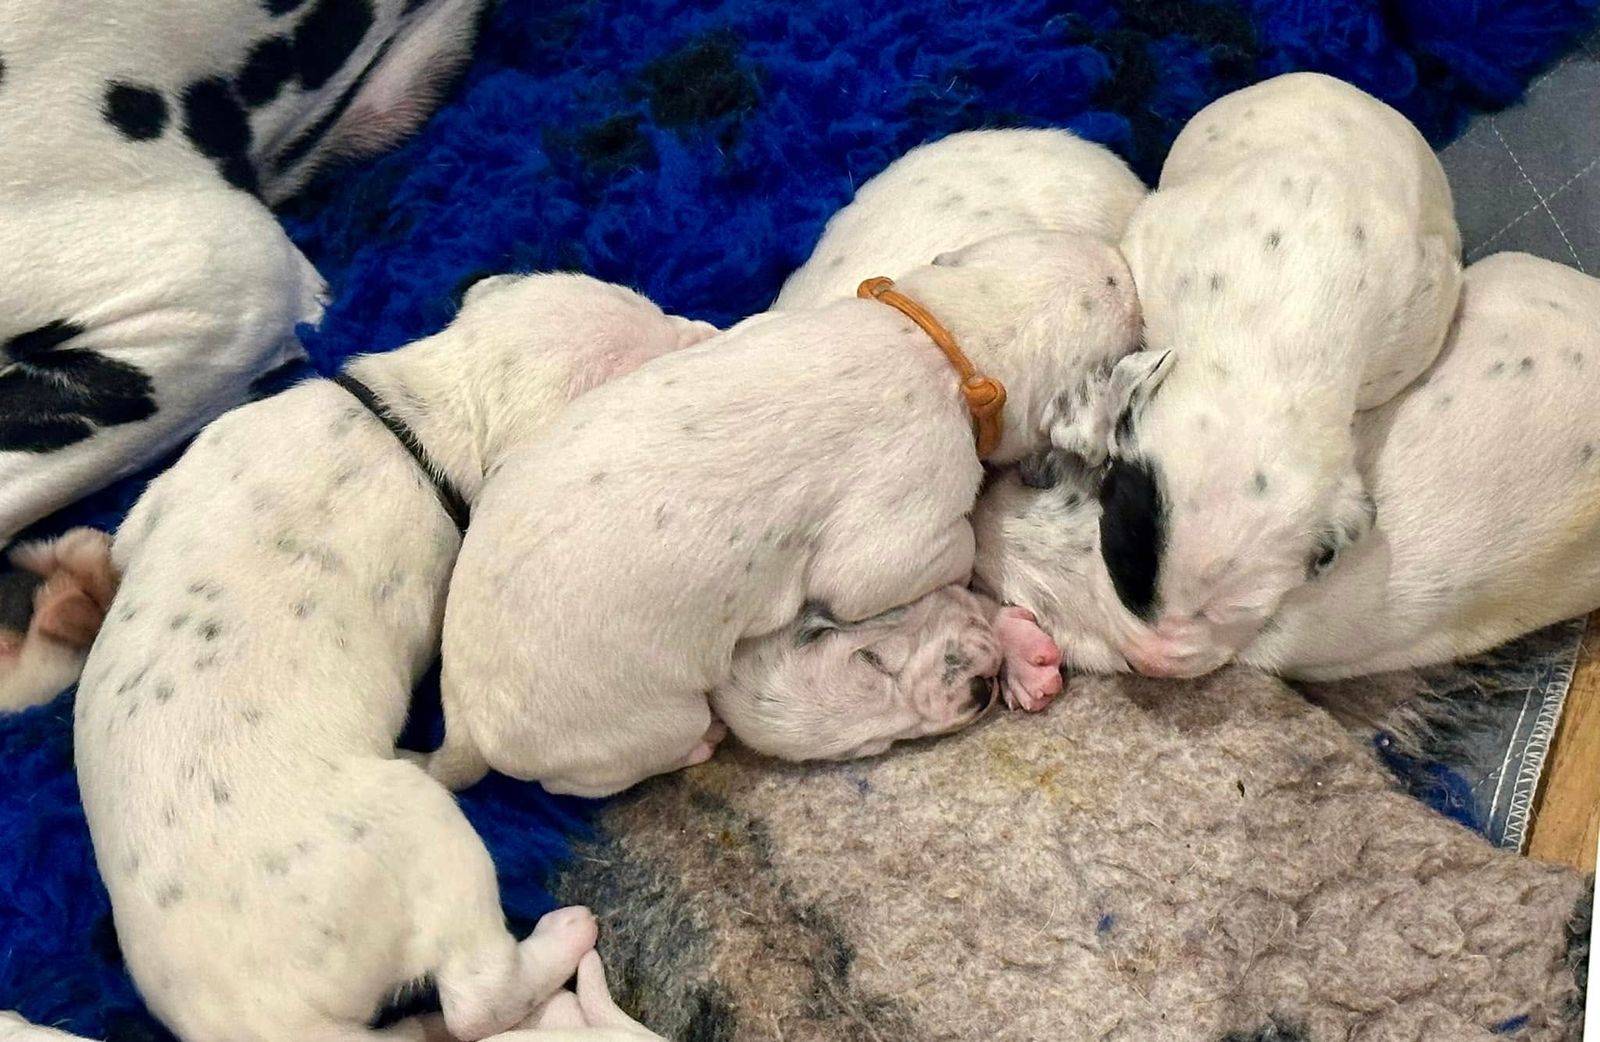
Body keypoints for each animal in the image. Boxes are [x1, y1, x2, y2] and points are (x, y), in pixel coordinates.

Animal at [70, 273, 711, 1042]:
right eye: (650, 359)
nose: (709, 330)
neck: (417, 415)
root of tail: (274, 1022)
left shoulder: (193, 468)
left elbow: (129, 536)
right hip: (422, 832)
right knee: (474, 995)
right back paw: (563, 937)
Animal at [427, 229, 1141, 798]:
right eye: (1117, 303)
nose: (1118, 258)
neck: (938, 340)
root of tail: (459, 715)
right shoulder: (900, 517)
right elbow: (916, 562)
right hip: (635, 726)